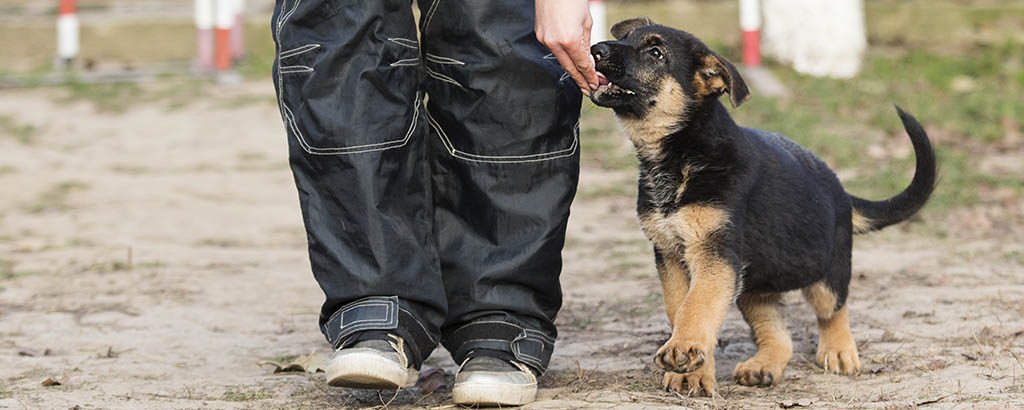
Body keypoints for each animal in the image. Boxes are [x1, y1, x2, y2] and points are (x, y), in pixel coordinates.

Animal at [589, 17, 937, 395]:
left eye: (655, 52)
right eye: (626, 38)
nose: (595, 49)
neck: (682, 154)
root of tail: (840, 188)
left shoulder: (714, 253)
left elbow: (697, 305)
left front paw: (686, 351)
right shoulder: (670, 254)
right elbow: (680, 307)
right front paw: (692, 372)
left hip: (824, 270)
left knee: (833, 308)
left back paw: (839, 350)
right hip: (755, 285)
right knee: (778, 333)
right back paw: (764, 366)